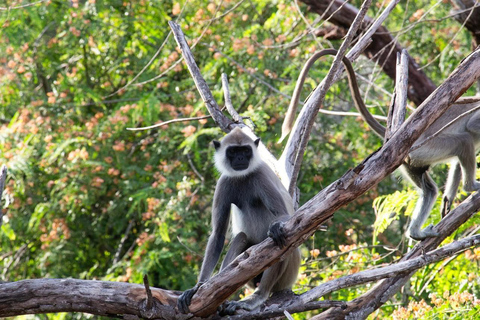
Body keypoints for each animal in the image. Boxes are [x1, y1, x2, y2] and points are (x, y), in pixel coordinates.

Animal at [178, 126, 300, 314]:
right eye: (233, 151)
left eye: (245, 151)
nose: (240, 158)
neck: (243, 176)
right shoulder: (223, 181)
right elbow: (218, 234)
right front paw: (198, 287)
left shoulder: (260, 175)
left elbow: (284, 216)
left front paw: (276, 227)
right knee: (241, 237)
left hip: (288, 274)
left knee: (280, 244)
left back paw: (257, 297)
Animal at [280, 48, 480, 240]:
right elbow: (471, 126)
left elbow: (456, 163)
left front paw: (448, 200)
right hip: (425, 149)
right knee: (464, 141)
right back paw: (470, 187)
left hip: (412, 162)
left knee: (430, 189)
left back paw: (416, 233)